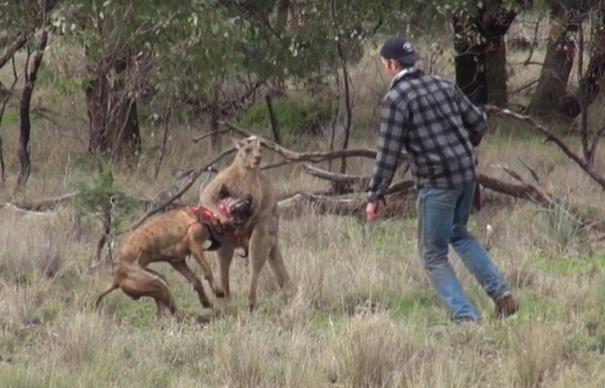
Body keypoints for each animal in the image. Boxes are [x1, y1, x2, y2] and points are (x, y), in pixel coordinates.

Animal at [95, 196, 251, 320]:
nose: (250, 197)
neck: (209, 214)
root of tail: (116, 279)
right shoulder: (193, 243)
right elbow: (207, 271)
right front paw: (217, 291)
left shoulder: (178, 261)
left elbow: (196, 281)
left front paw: (205, 301)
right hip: (156, 283)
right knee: (175, 310)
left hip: (158, 280)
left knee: (163, 307)